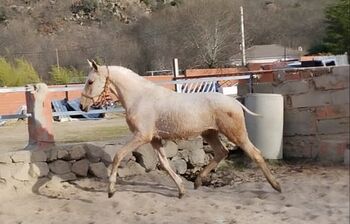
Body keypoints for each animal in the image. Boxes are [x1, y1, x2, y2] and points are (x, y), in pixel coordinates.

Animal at [80, 59, 282, 198]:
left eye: (90, 82)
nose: (82, 106)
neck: (140, 97)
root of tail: (234, 102)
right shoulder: (155, 139)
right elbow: (165, 164)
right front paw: (181, 190)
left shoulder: (142, 136)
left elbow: (118, 155)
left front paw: (111, 190)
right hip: (210, 133)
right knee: (221, 152)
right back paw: (198, 182)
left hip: (235, 134)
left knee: (255, 153)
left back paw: (276, 186)